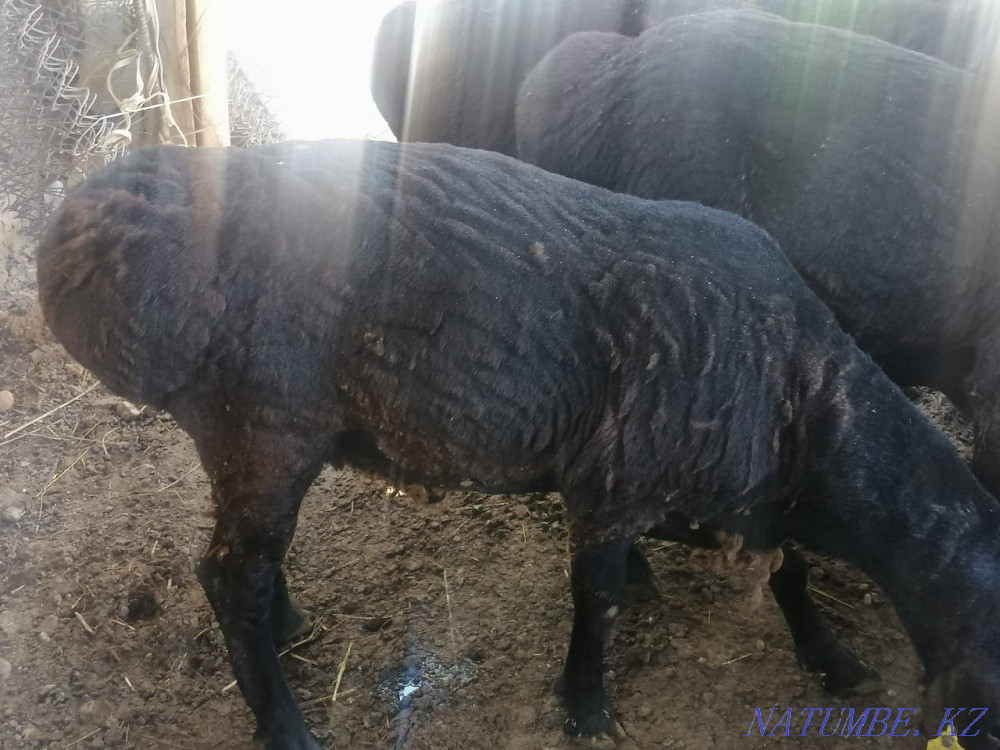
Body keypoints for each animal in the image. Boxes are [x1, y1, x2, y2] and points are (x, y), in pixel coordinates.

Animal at [37, 138, 1000, 748]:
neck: (802, 407)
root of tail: (84, 227)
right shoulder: (614, 480)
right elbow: (596, 598)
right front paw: (588, 711)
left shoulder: (738, 502)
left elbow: (793, 575)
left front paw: (836, 666)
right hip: (264, 422)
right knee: (227, 574)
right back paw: (287, 727)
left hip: (247, 436)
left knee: (246, 563)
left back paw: (292, 627)